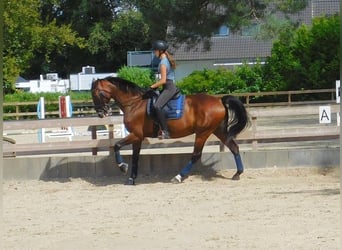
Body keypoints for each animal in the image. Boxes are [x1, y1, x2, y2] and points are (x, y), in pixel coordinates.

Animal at [92, 77, 250, 185]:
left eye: (95, 93)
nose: (100, 113)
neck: (134, 103)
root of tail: (219, 100)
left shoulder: (135, 134)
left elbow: (117, 146)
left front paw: (123, 167)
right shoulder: (138, 137)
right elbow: (135, 157)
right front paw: (131, 178)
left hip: (203, 133)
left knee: (196, 155)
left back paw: (178, 177)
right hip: (219, 131)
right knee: (234, 148)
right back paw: (237, 173)